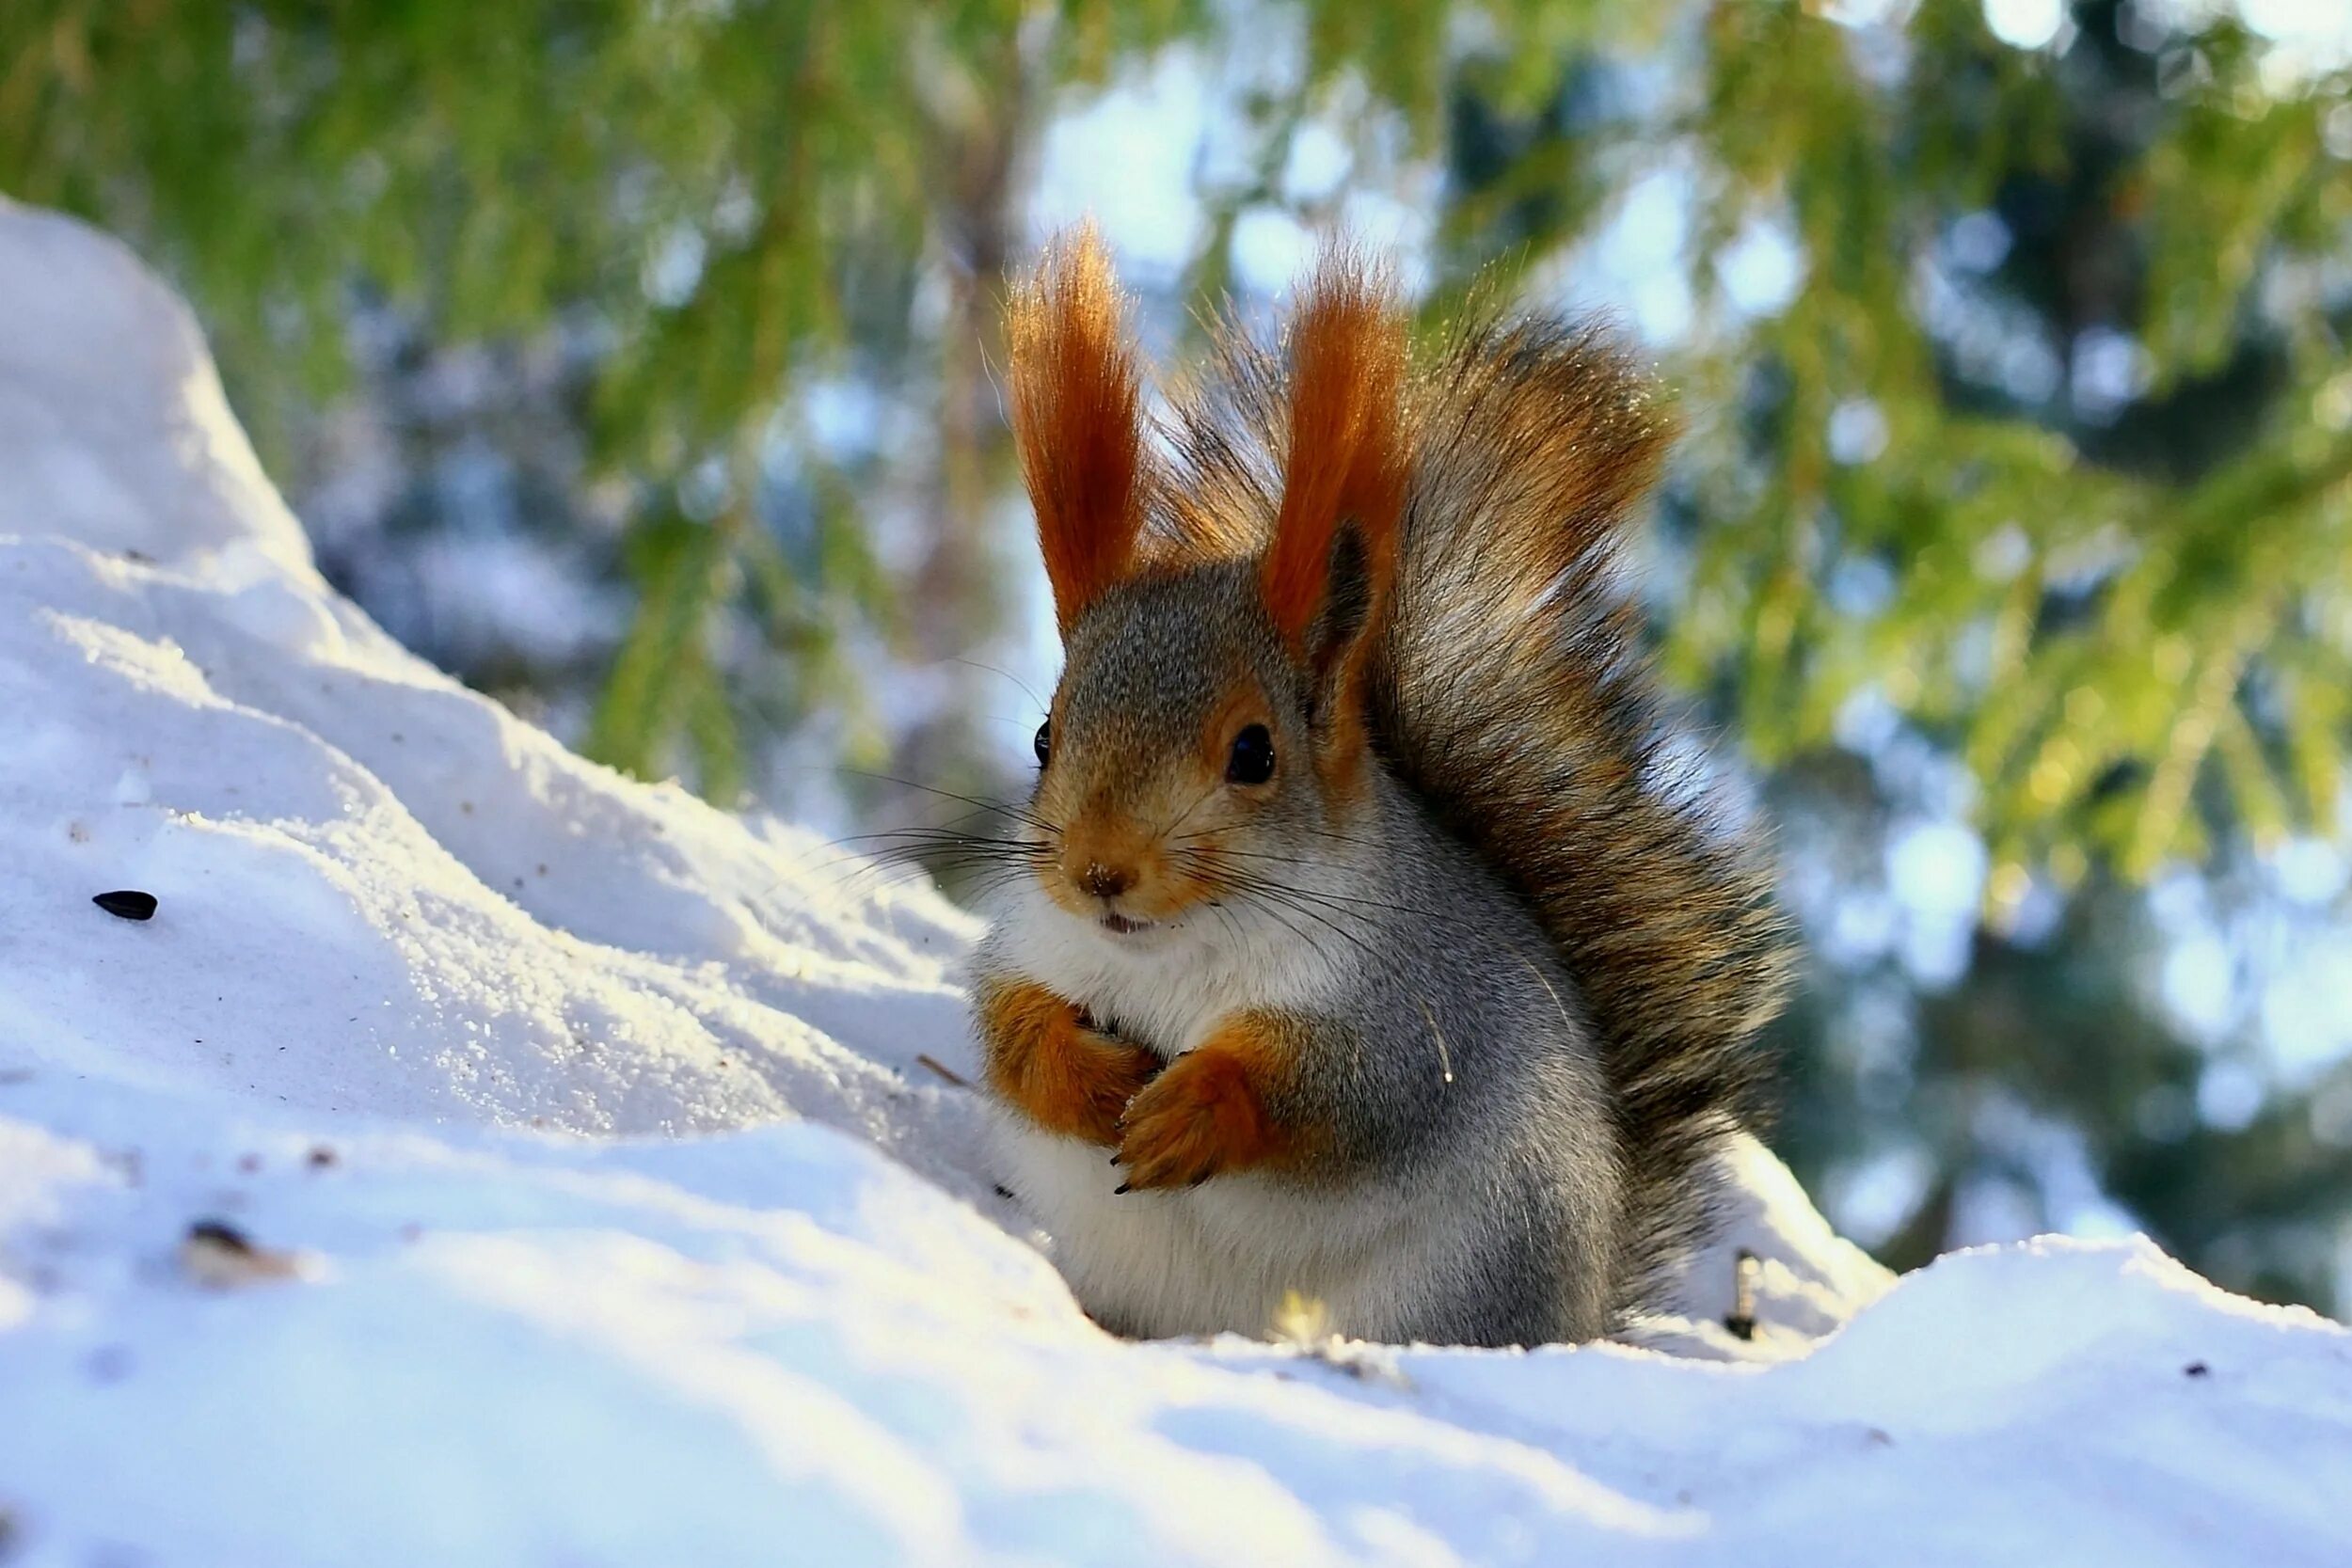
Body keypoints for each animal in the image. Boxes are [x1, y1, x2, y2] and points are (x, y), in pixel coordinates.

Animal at [964, 232, 1788, 1354]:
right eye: (1046, 737)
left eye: (1255, 753)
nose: (1100, 872)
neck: (1173, 955)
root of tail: (1580, 1312)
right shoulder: (1028, 939)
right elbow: (1006, 1027)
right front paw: (1079, 1075)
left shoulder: (1412, 1002)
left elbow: (1351, 1094)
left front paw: (1197, 1109)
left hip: (1457, 1286)